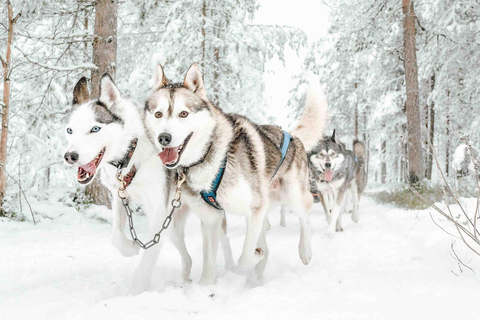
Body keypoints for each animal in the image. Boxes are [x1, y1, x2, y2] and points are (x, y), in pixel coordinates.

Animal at [63, 74, 197, 292]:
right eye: (69, 130)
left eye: (95, 129)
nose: (69, 156)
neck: (131, 152)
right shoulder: (120, 196)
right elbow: (115, 235)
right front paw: (131, 248)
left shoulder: (158, 211)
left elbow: (149, 255)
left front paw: (138, 289)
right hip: (173, 229)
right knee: (188, 257)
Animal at [144, 63, 328, 284]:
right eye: (158, 114)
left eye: (183, 114)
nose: (164, 137)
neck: (210, 157)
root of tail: (292, 136)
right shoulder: (211, 219)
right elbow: (209, 262)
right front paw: (206, 285)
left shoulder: (255, 210)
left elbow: (244, 259)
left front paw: (250, 261)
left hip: (292, 196)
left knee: (305, 216)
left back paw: (304, 251)